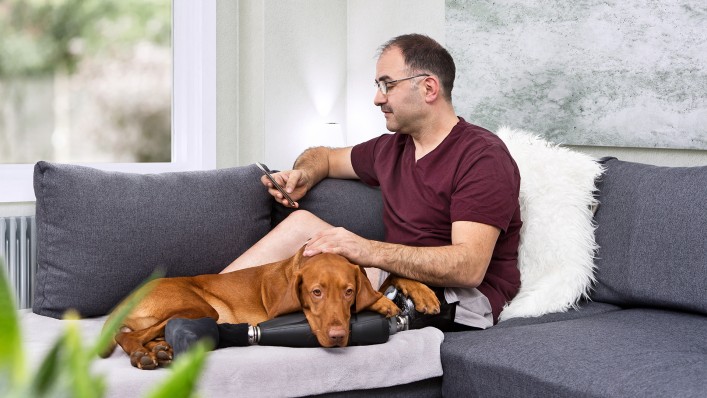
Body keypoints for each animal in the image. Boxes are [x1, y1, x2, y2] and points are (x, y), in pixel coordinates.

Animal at [101, 247, 440, 372]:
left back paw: (159, 349)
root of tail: (125, 298)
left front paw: (422, 294)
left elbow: (393, 276)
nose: (337, 336)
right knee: (127, 337)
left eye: (348, 292)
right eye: (316, 292)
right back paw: (145, 354)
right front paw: (383, 302)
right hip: (200, 307)